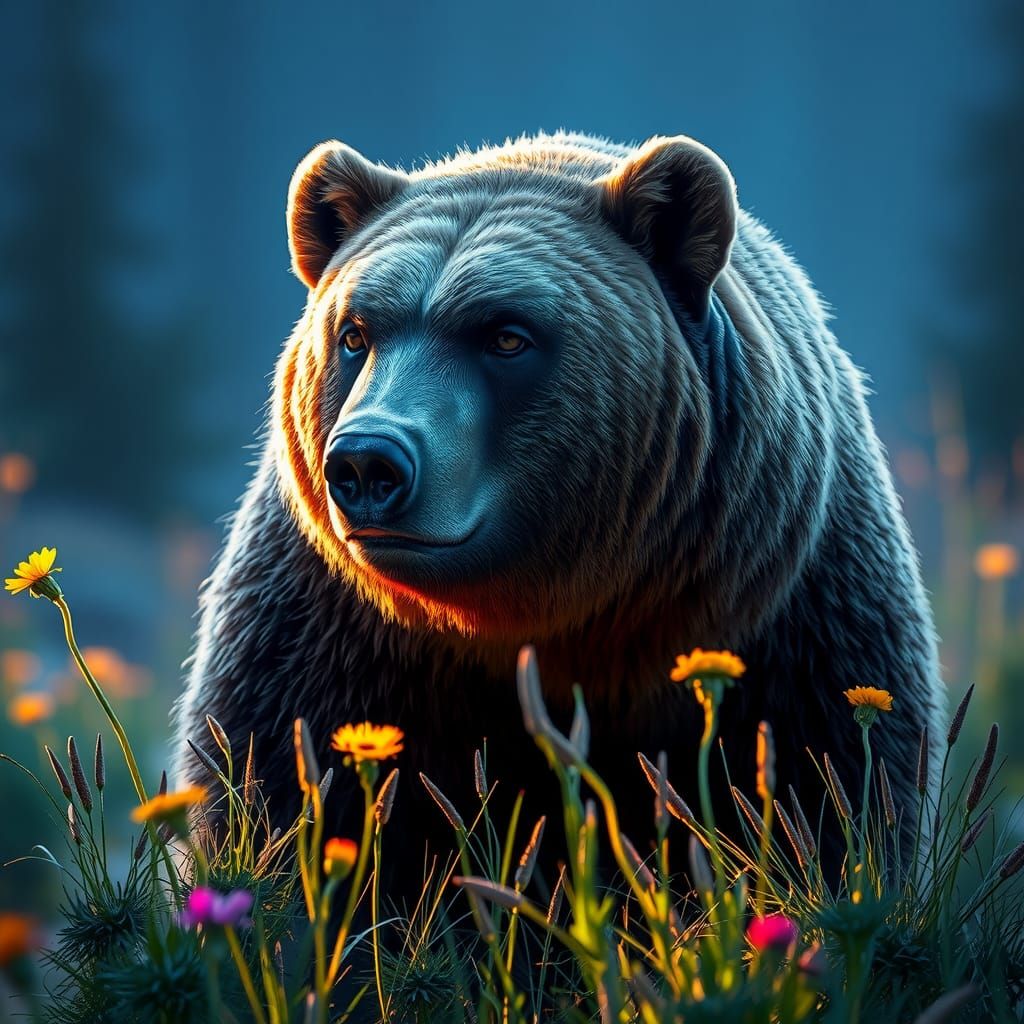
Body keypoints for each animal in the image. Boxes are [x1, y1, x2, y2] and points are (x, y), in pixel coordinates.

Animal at [173, 130, 943, 899]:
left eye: (506, 336)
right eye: (357, 332)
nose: (368, 462)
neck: (560, 618)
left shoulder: (789, 622)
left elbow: (825, 790)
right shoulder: (334, 636)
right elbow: (279, 778)